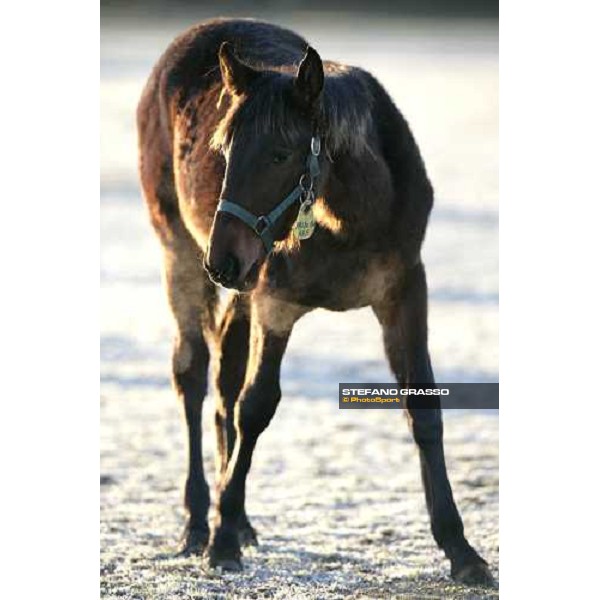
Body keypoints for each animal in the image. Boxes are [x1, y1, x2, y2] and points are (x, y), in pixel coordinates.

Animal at [138, 17, 494, 584]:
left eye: (280, 154)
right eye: (224, 151)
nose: (223, 261)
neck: (351, 217)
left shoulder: (405, 292)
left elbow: (423, 408)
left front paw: (461, 551)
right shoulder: (275, 304)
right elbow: (256, 407)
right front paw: (220, 540)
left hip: (242, 287)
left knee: (223, 378)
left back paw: (234, 517)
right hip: (181, 253)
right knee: (192, 375)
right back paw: (197, 521)